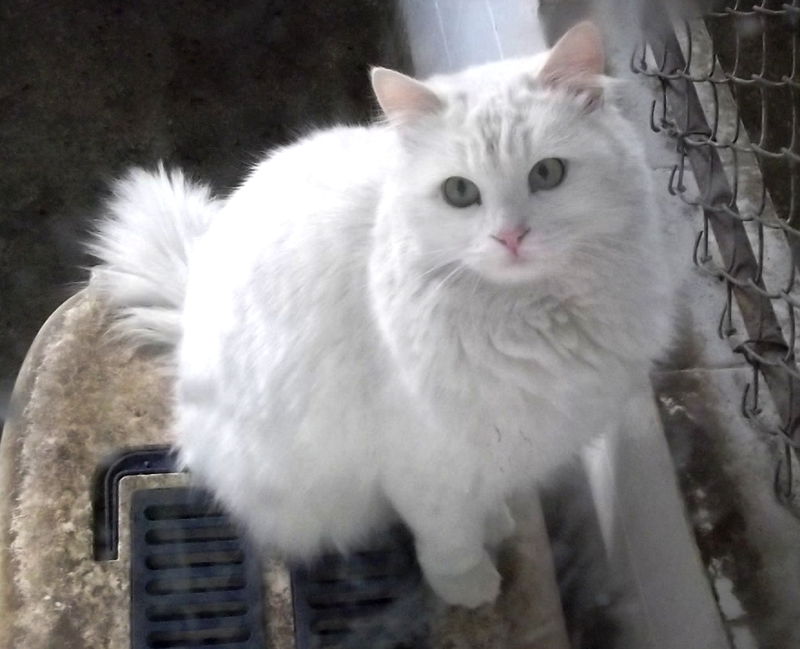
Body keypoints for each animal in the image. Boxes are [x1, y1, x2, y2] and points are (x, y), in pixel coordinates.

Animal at [89, 21, 676, 608]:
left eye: (548, 174)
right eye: (460, 192)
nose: (511, 237)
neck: (530, 314)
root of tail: (190, 305)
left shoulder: (501, 446)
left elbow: (484, 501)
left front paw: (496, 525)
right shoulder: (425, 461)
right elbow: (448, 535)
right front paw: (469, 585)